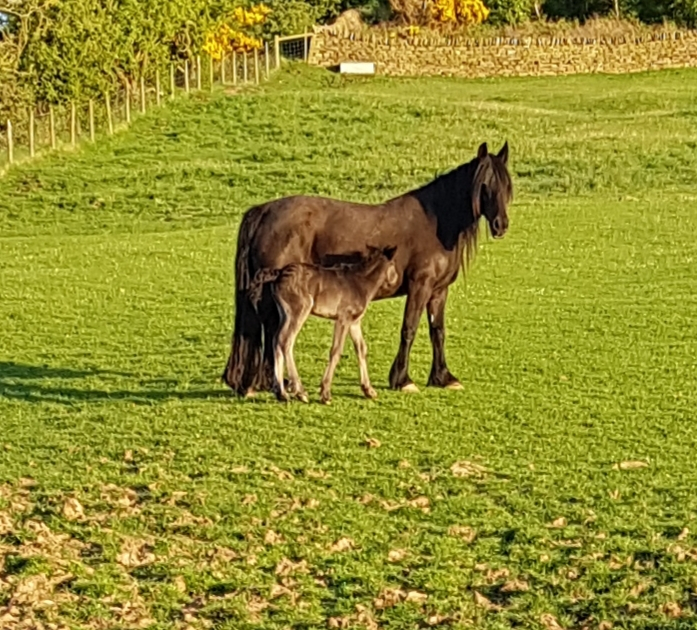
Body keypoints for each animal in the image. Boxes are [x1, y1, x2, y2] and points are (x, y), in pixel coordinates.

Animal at [223, 143, 512, 398]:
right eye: (484, 185)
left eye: (507, 186)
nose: (501, 225)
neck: (436, 224)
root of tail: (263, 211)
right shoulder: (420, 287)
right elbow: (409, 329)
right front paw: (402, 380)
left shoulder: (438, 291)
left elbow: (437, 331)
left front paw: (443, 377)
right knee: (273, 331)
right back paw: (276, 384)